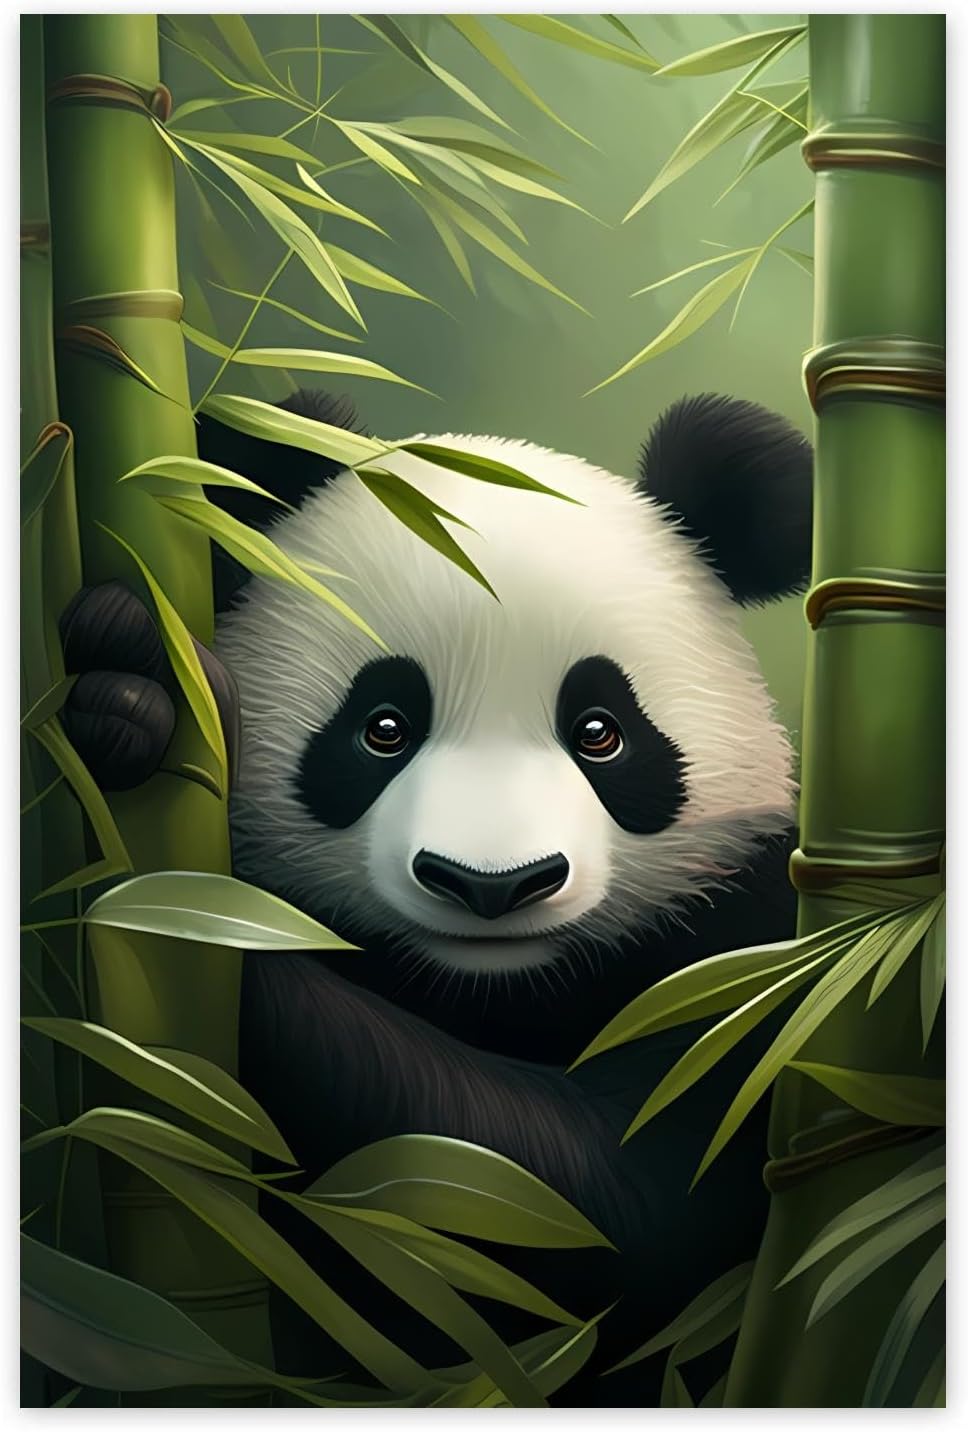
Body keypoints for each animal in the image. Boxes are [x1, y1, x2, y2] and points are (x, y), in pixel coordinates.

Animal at [60, 389, 813, 1405]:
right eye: (383, 727)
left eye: (601, 732)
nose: (491, 885)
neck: (488, 988)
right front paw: (131, 688)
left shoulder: (751, 961)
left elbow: (605, 1210)